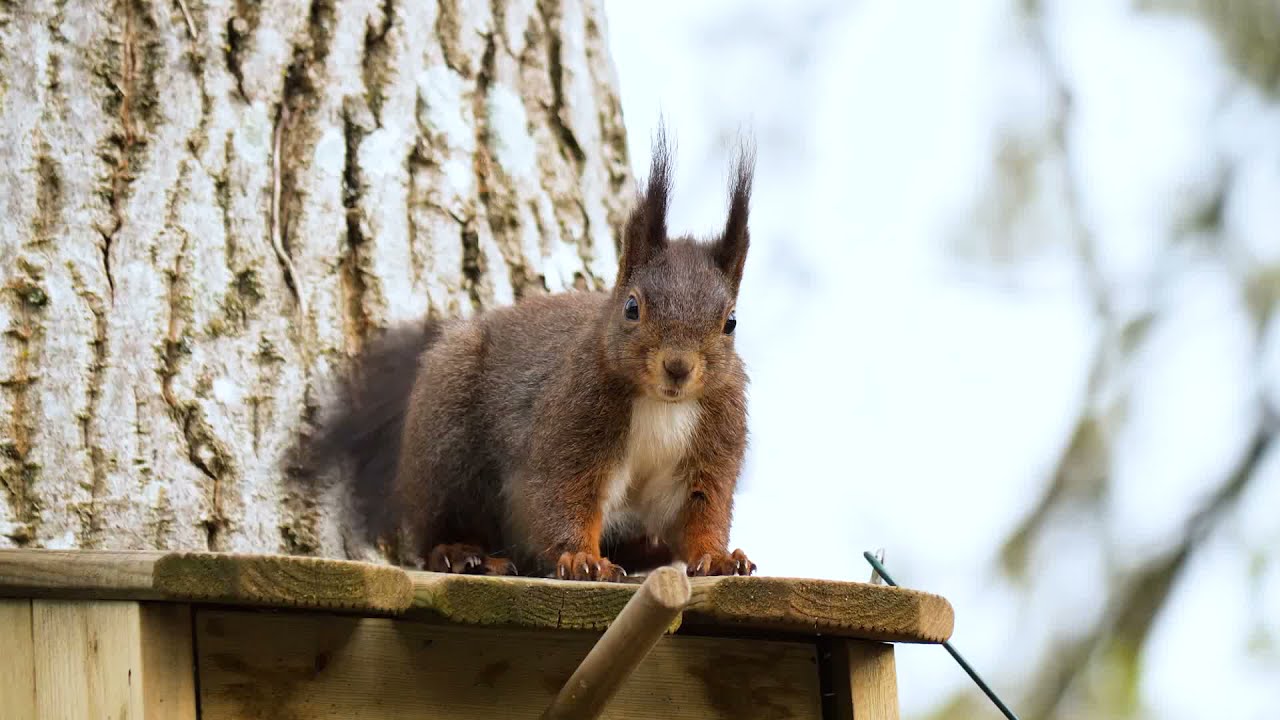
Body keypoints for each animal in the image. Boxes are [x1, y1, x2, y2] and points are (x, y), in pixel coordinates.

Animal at [305, 133, 757, 582]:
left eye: (731, 322)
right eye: (632, 307)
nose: (678, 367)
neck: (662, 405)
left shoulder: (711, 448)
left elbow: (700, 511)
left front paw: (717, 557)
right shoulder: (571, 426)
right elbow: (563, 495)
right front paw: (582, 558)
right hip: (445, 449)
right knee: (438, 528)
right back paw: (462, 553)